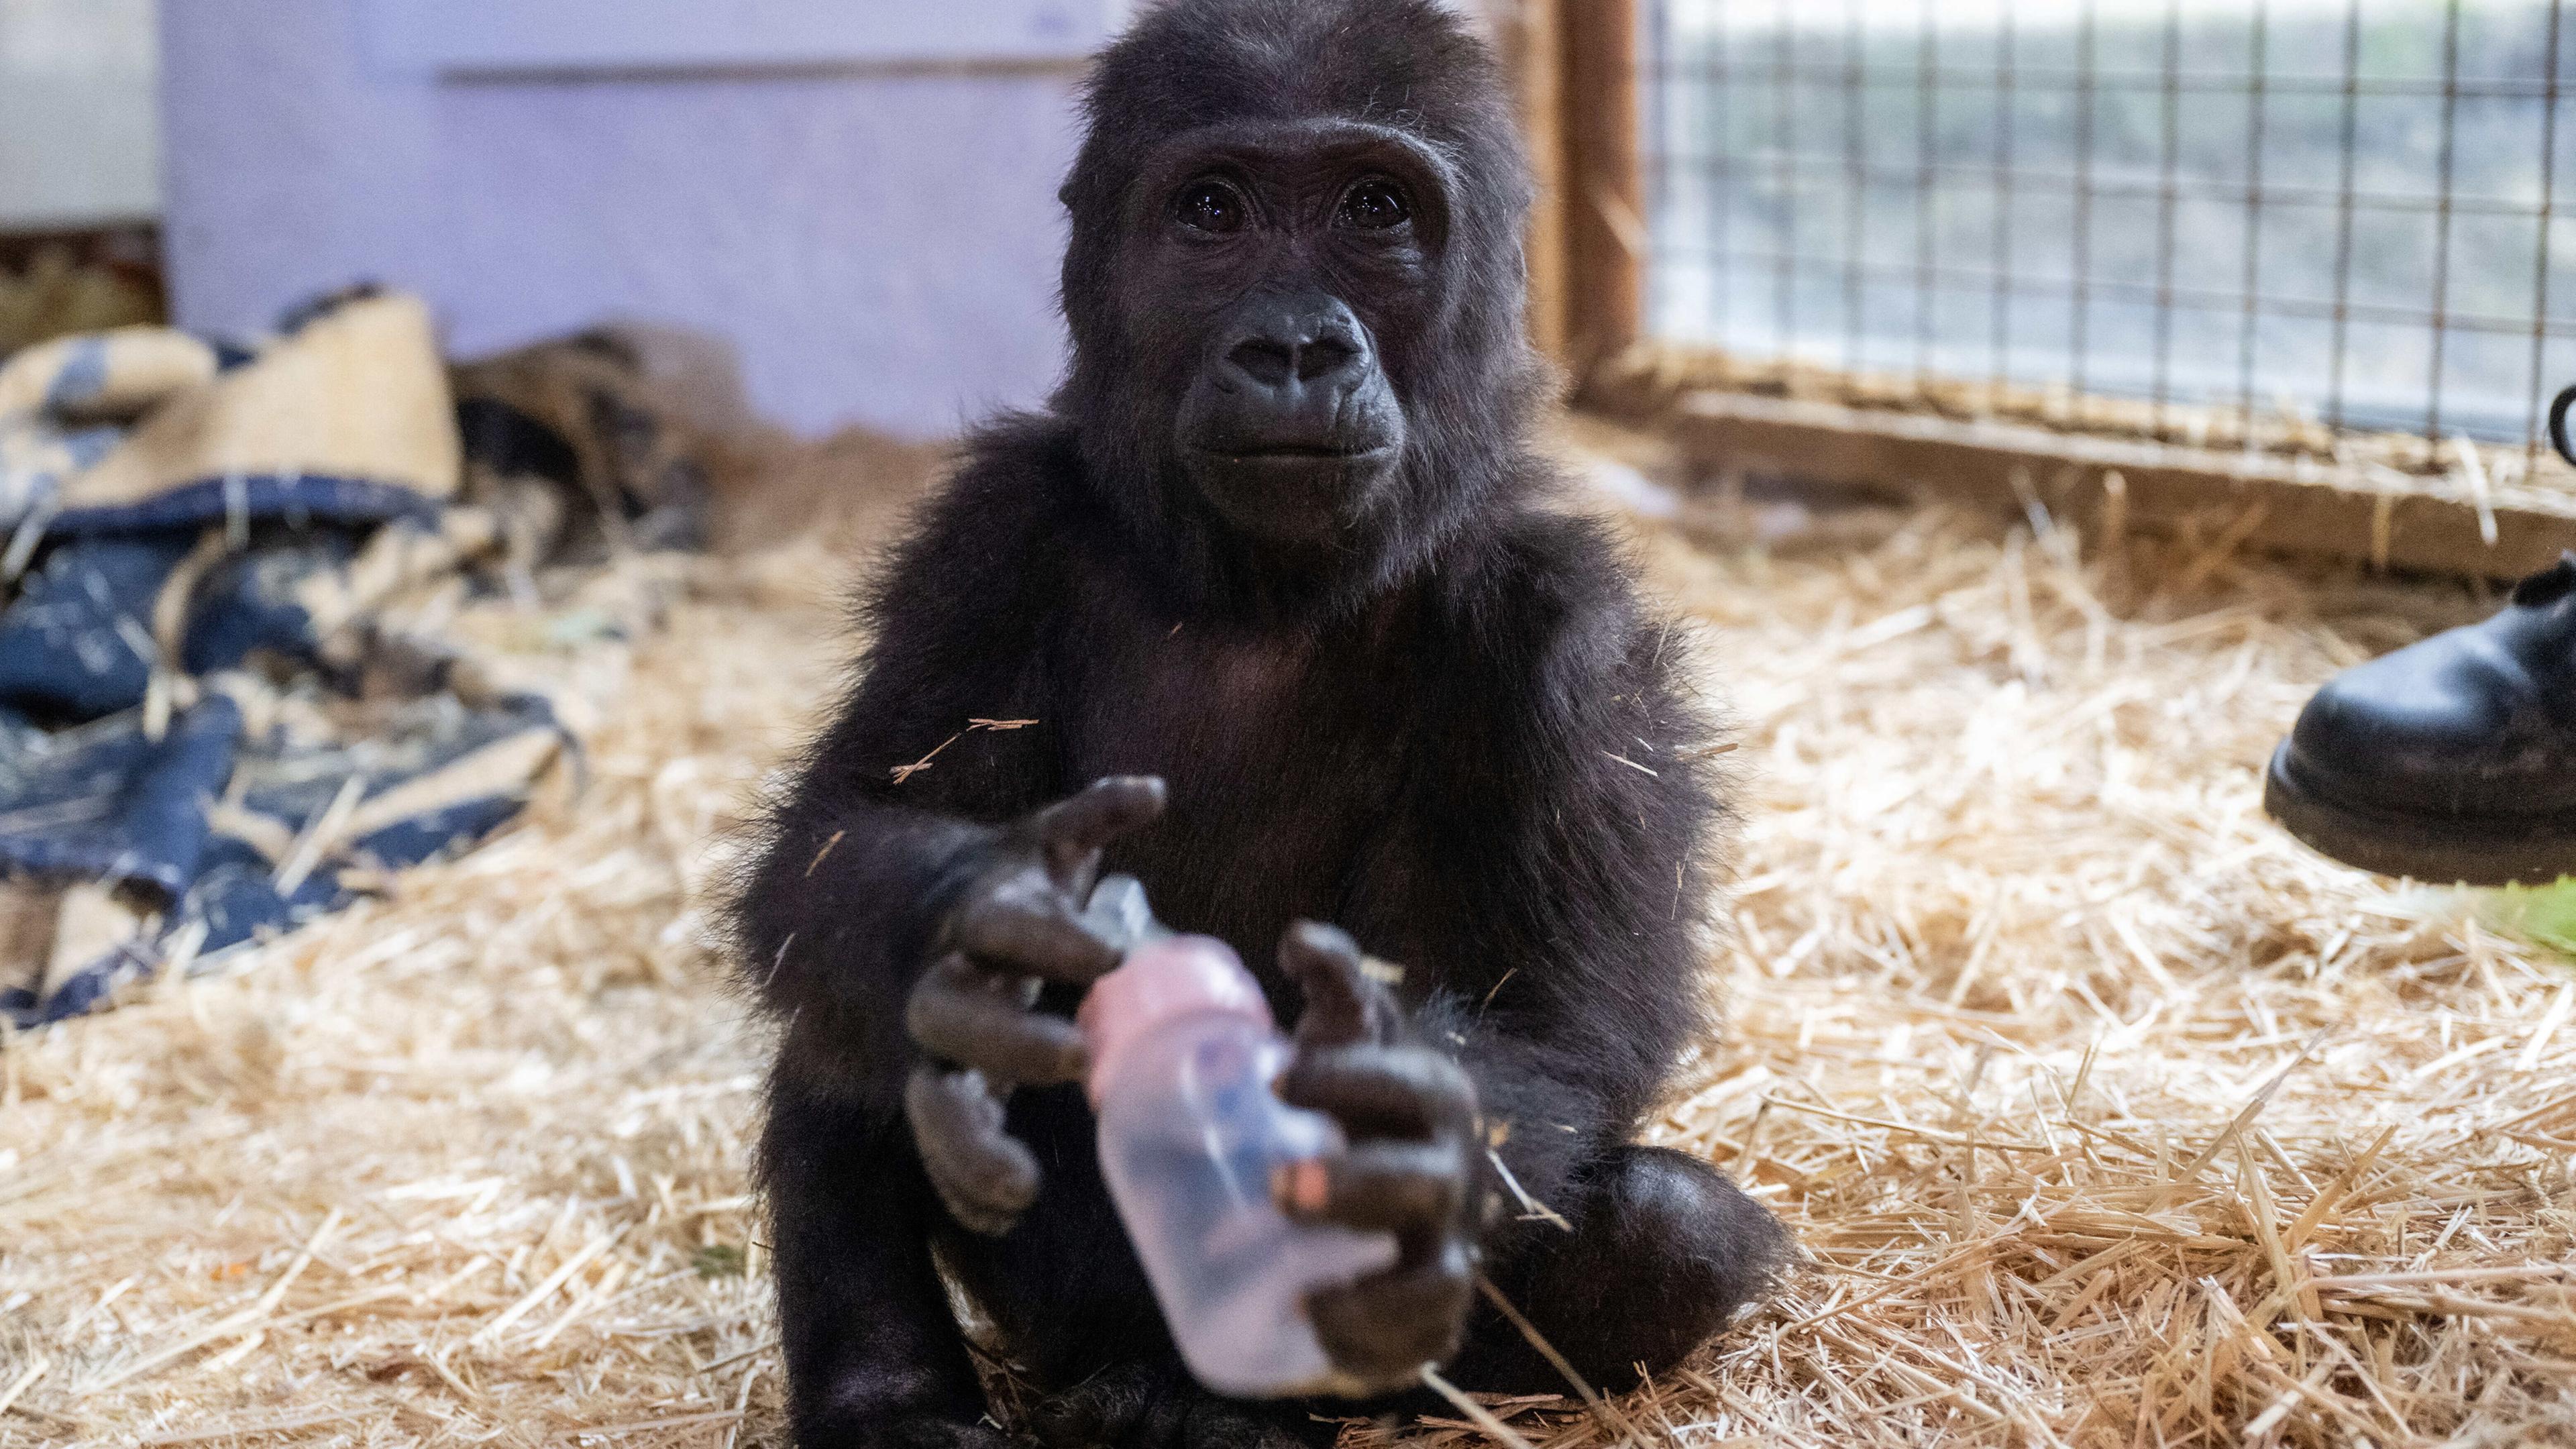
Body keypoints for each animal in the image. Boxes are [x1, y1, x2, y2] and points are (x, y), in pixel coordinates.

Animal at [731, 3, 1792, 1444]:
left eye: (1375, 209)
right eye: (1215, 212)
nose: (1293, 348)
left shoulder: (1576, 633)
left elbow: (1572, 1016)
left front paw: (1406, 1142)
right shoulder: (986, 538)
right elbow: (843, 840)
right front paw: (974, 925)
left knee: (1666, 1233)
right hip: (1054, 1316)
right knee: (845, 1033)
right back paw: (894, 1398)